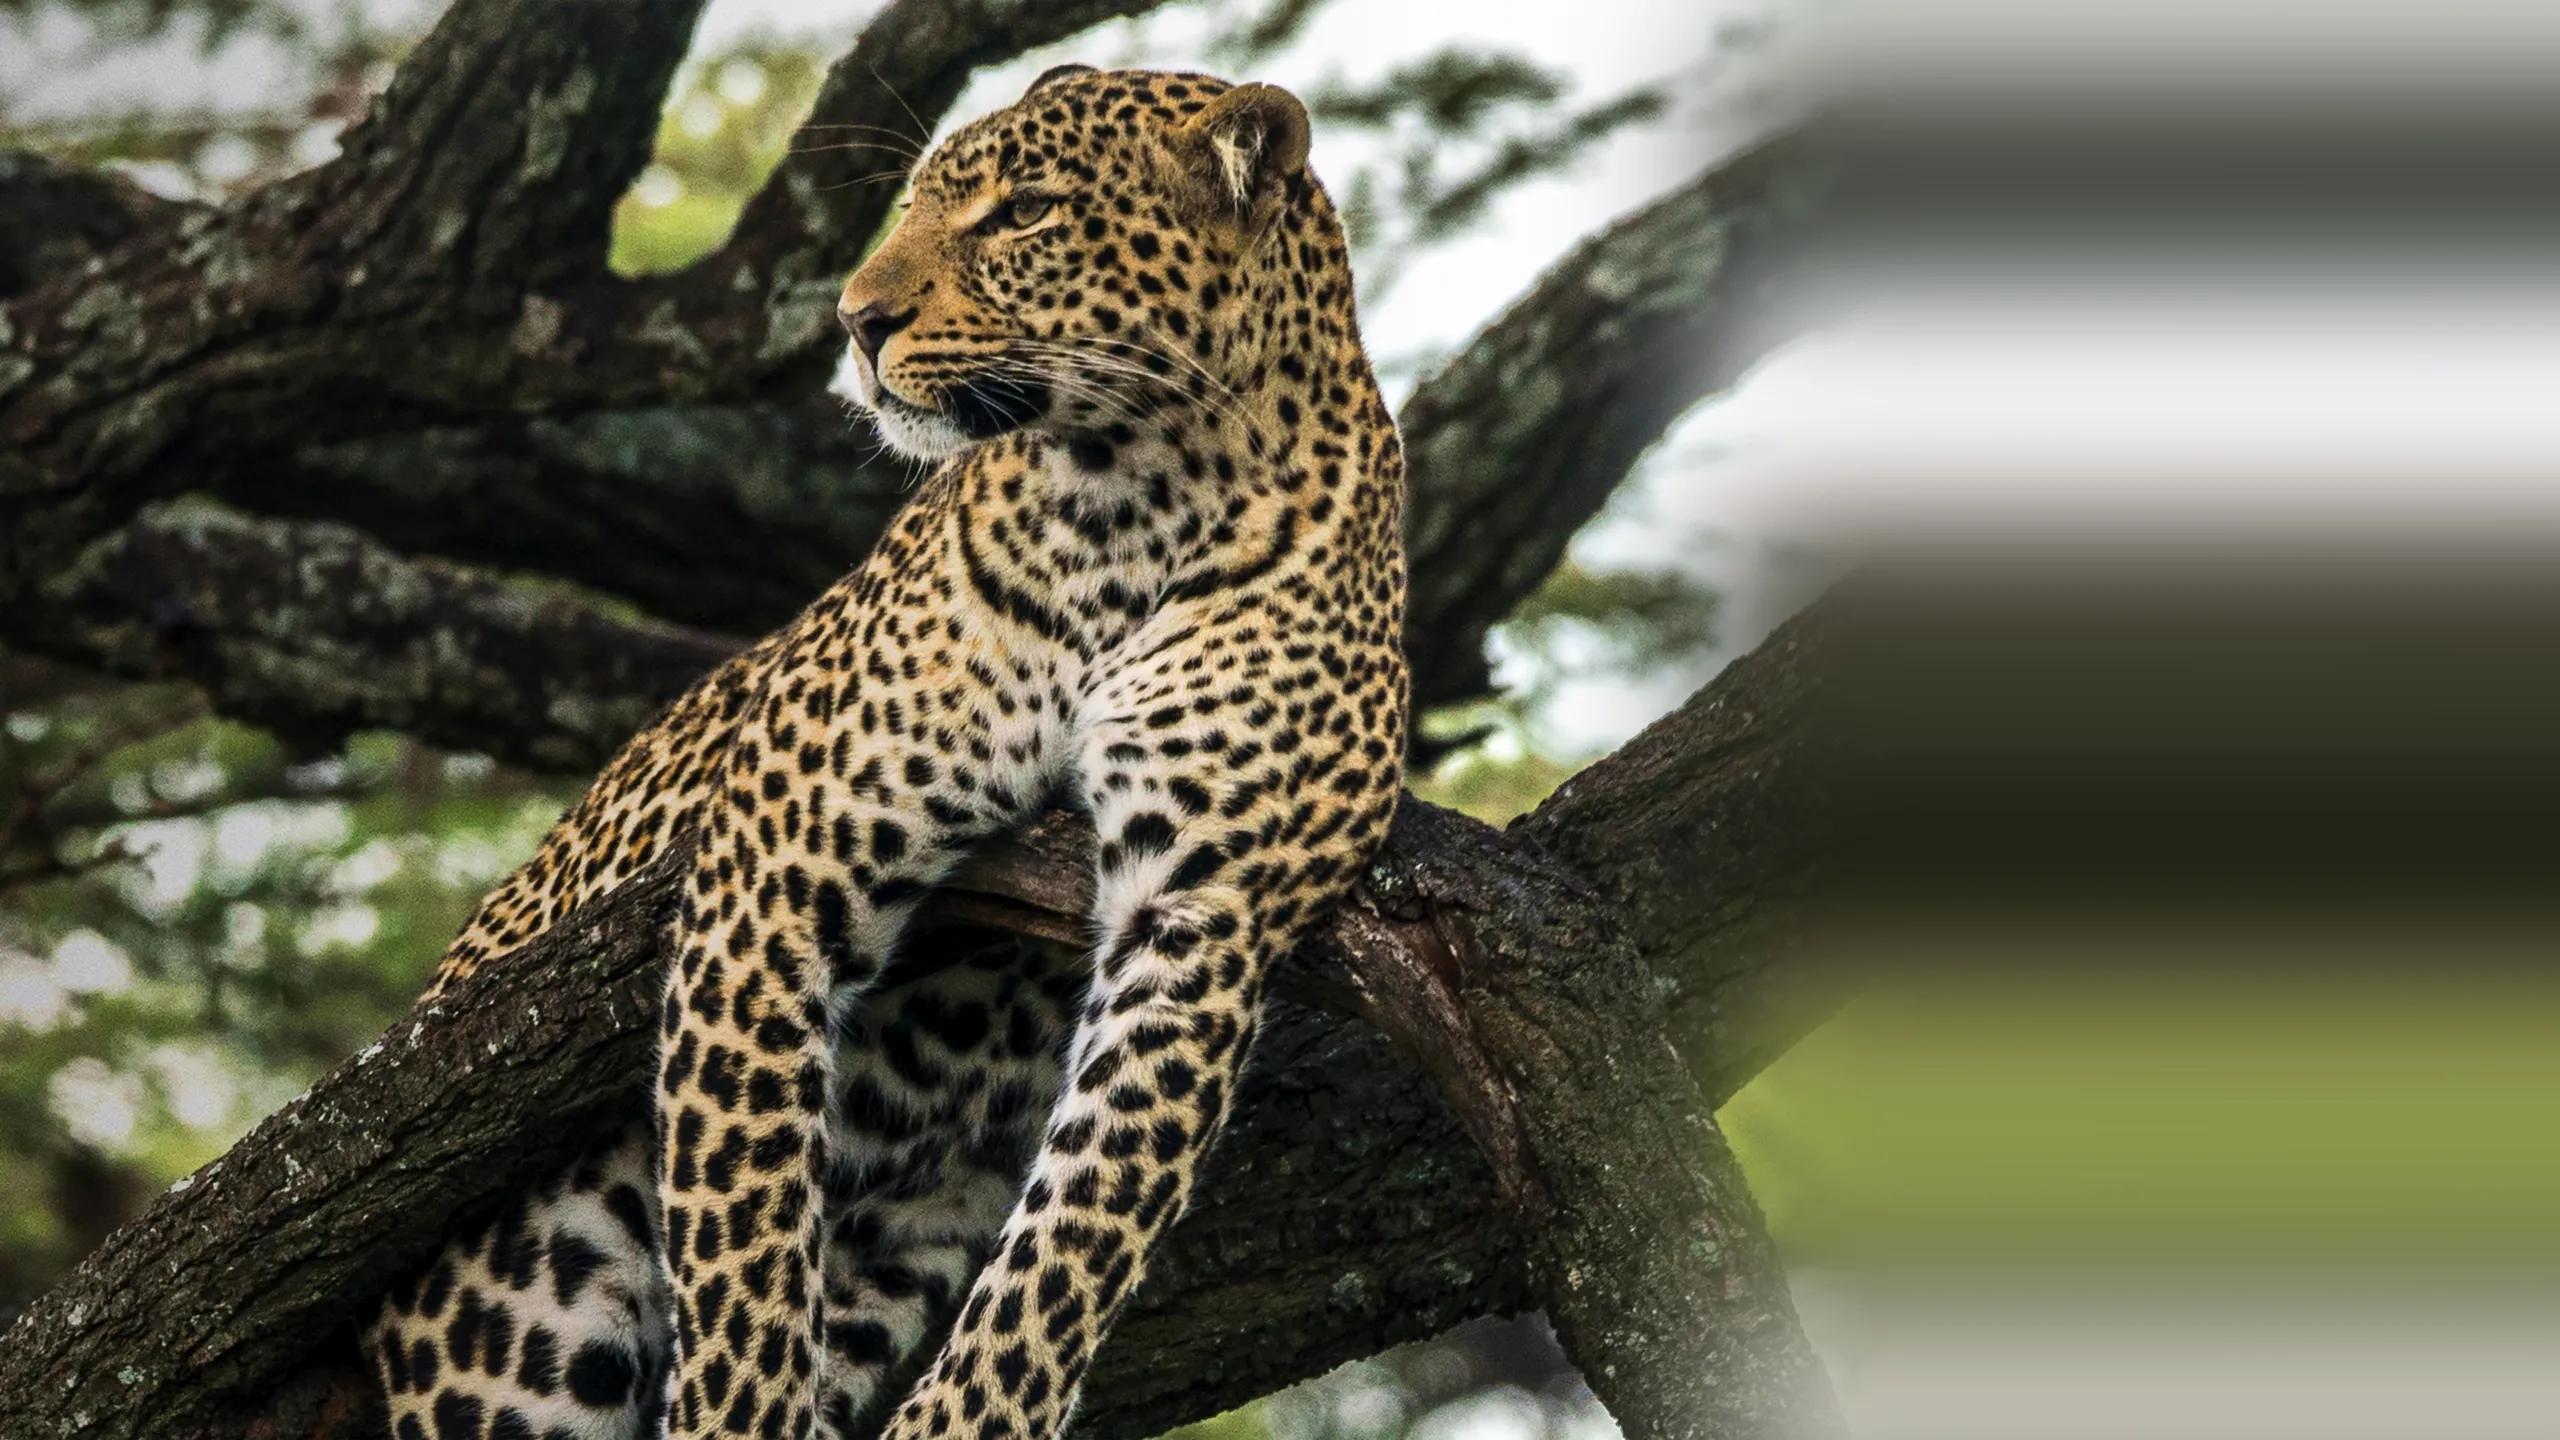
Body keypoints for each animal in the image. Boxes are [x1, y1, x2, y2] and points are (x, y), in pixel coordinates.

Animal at [366, 62, 1409, 1440]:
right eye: (916, 201)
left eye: (1023, 212)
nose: (857, 320)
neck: (1136, 498)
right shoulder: (779, 851)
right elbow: (746, 1244)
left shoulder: (1202, 919)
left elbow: (1068, 1250)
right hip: (522, 1318)